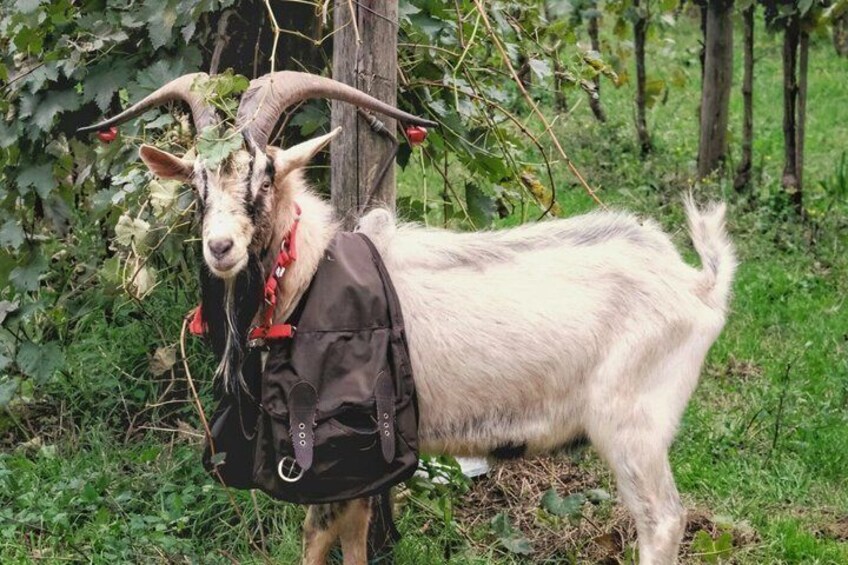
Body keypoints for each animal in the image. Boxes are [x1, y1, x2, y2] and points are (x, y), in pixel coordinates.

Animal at [81, 71, 737, 565]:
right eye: (196, 184)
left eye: (264, 178)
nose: (220, 248)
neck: (311, 271)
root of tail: (698, 284)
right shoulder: (365, 456)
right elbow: (353, 537)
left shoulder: (327, 450)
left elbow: (316, 538)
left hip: (634, 429)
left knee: (662, 521)